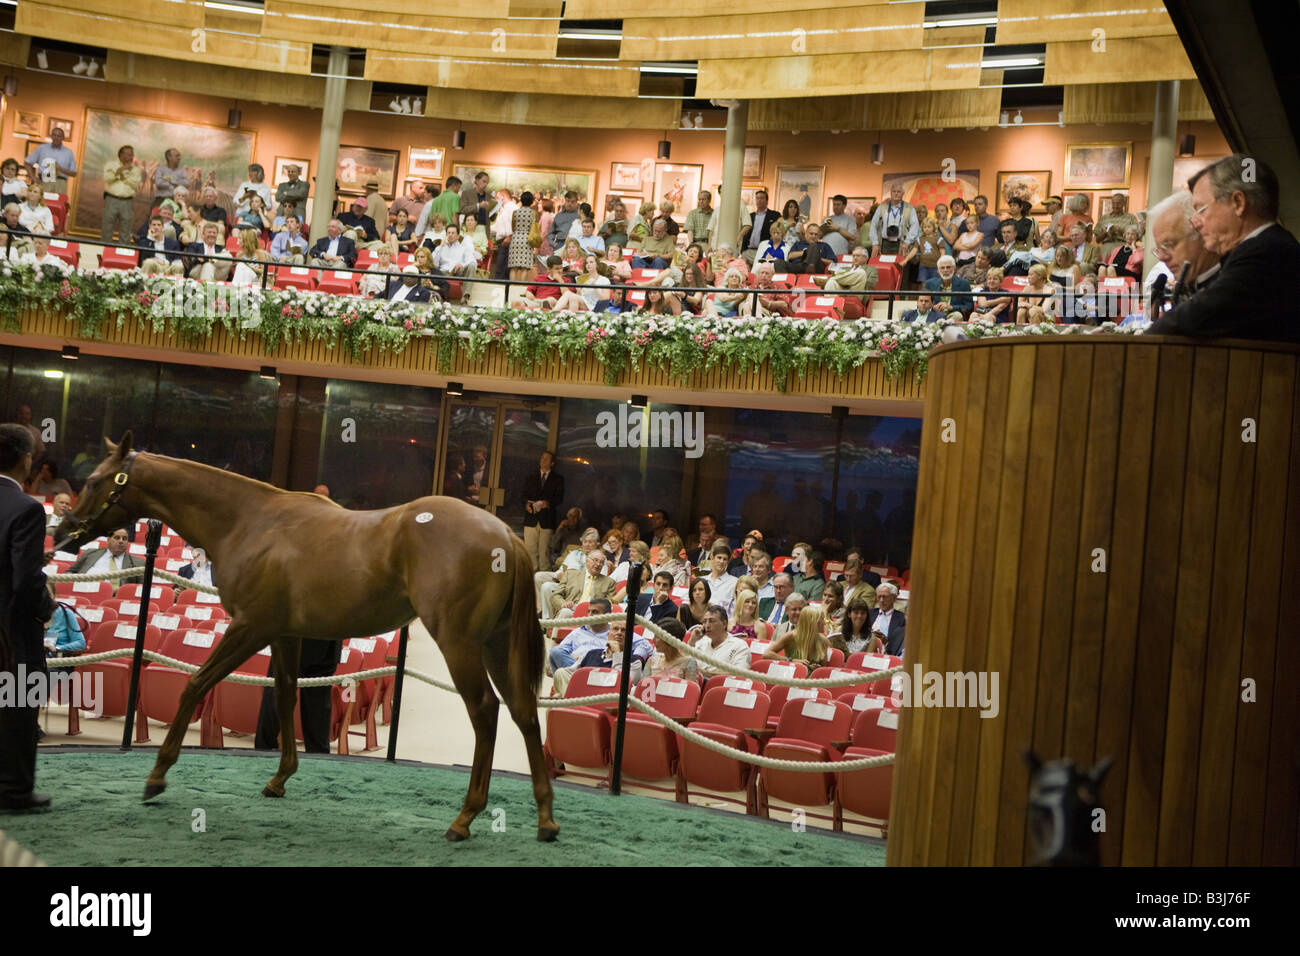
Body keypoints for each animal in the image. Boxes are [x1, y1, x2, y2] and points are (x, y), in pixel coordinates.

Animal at [54, 429, 559, 842]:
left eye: (96, 480)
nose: (64, 532)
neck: (250, 521)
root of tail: (505, 535)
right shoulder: (284, 634)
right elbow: (283, 697)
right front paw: (279, 779)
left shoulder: (250, 626)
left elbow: (195, 685)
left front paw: (157, 776)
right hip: (495, 646)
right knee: (523, 712)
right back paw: (546, 820)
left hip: (459, 644)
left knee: (486, 712)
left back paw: (465, 818)